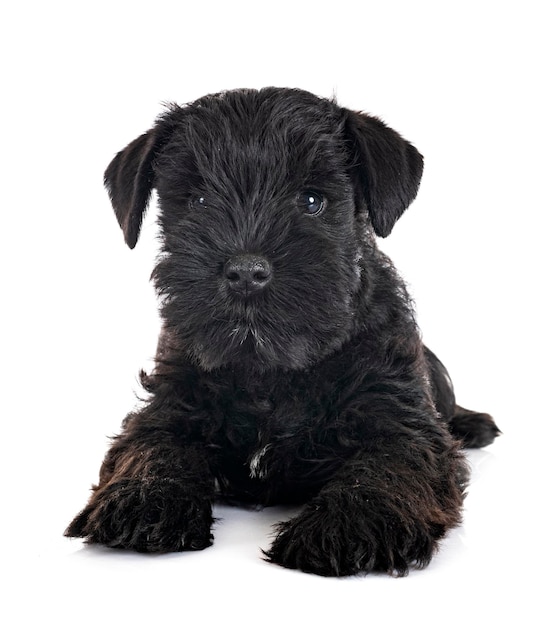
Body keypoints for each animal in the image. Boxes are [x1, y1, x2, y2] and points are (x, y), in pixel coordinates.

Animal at [66, 88, 500, 576]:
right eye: (198, 201)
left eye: (311, 201)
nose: (246, 272)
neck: (270, 373)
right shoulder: (169, 405)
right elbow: (152, 448)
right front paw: (141, 501)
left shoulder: (402, 425)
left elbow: (383, 470)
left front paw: (343, 526)